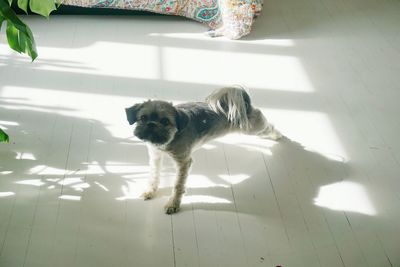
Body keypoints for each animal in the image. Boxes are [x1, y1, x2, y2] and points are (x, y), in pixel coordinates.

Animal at [125, 87, 282, 215]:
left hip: (253, 127)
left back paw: (277, 135)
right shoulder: (155, 157)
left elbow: (178, 185)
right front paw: (150, 191)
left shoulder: (184, 162)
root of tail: (245, 104)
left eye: (165, 121)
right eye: (143, 118)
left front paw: (173, 203)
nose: (151, 124)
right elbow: (154, 176)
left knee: (268, 126)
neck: (169, 139)